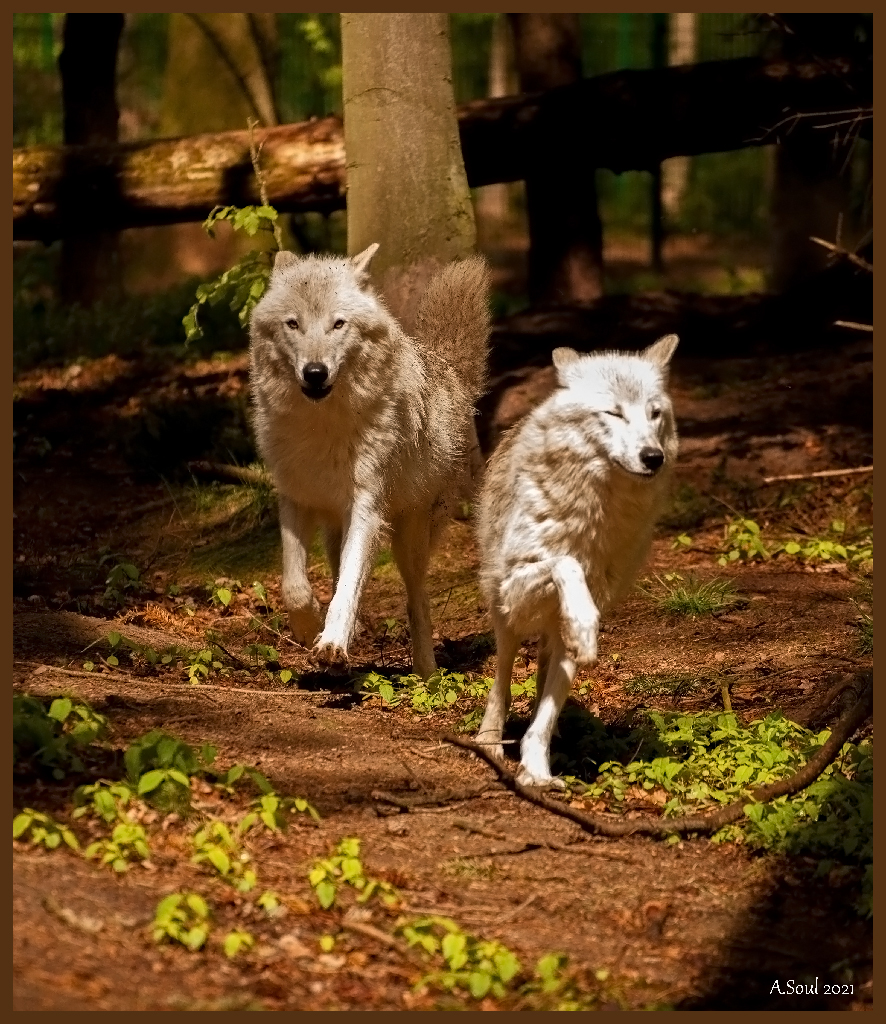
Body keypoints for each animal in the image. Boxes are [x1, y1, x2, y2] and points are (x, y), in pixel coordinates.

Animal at [248, 244, 490, 677]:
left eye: (338, 324)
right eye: (293, 324)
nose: (314, 372)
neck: (323, 428)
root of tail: (444, 366)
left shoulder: (366, 507)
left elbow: (349, 585)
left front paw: (331, 643)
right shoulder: (294, 498)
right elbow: (294, 586)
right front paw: (308, 627)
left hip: (410, 540)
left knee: (417, 600)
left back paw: (426, 673)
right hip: (335, 528)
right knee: (336, 571)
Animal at [474, 335, 680, 787]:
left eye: (654, 413)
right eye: (614, 412)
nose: (652, 456)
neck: (595, 513)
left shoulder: (595, 594)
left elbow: (546, 713)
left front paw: (536, 771)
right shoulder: (518, 585)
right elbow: (564, 563)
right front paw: (585, 623)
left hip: (550, 633)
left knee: (544, 688)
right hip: (503, 611)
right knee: (502, 680)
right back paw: (488, 742)